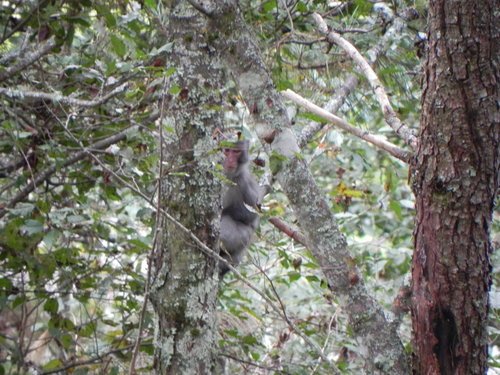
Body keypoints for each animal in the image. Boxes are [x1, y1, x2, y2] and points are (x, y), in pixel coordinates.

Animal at [220, 140, 264, 276]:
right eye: (227, 150)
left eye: (236, 151)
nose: (230, 160)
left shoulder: (243, 182)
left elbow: (252, 215)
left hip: (242, 241)